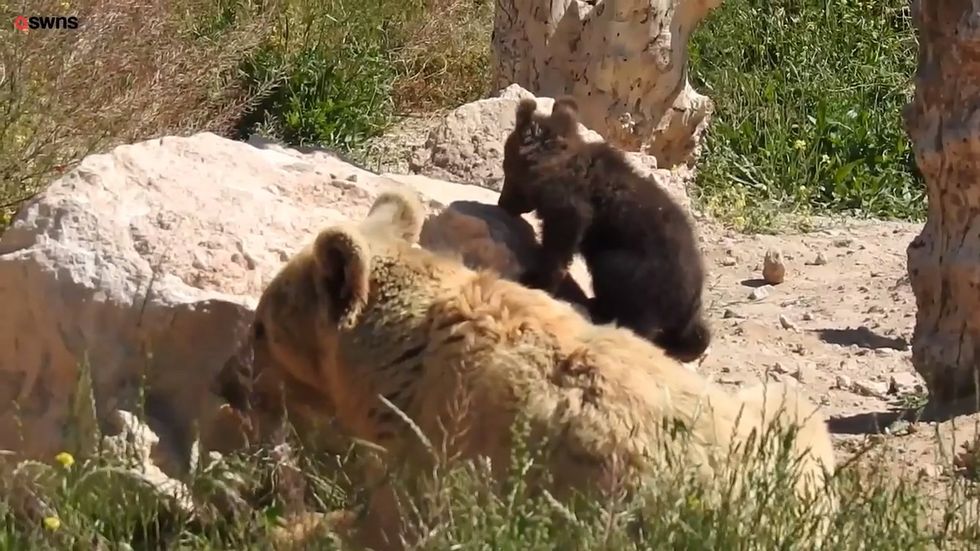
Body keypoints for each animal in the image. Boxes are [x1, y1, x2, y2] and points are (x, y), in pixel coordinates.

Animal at [213, 187, 836, 550]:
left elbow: (386, 523)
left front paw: (271, 524)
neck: (408, 353)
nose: (227, 382)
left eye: (260, 327)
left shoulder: (446, 444)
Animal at [497, 96, 711, 363]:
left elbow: (560, 244)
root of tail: (691, 304)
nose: (502, 203)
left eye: (506, 167)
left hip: (636, 270)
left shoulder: (570, 206)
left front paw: (539, 280)